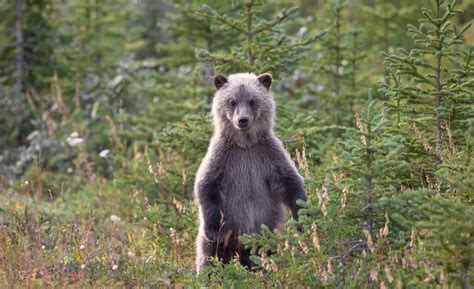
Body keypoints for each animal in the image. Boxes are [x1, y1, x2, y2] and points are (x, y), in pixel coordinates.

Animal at [193, 73, 308, 272]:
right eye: (232, 101)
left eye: (252, 100)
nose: (243, 120)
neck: (245, 144)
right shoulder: (223, 158)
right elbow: (206, 185)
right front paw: (214, 229)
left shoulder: (267, 155)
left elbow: (290, 183)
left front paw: (301, 218)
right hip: (228, 234)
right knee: (210, 255)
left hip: (268, 232)